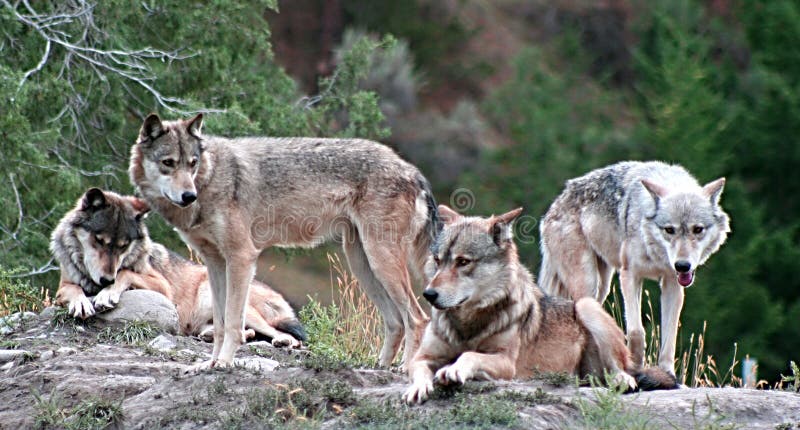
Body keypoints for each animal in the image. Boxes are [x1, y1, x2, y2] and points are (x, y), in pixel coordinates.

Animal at [49, 188, 306, 346]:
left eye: (123, 246)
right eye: (99, 240)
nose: (106, 280)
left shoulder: (162, 286)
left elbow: (125, 272)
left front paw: (106, 295)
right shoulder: (63, 286)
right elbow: (74, 290)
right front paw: (82, 302)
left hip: (217, 296)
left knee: (284, 335)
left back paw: (283, 340)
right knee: (240, 332)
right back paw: (210, 335)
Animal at [128, 113, 438, 370]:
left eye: (192, 164)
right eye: (168, 163)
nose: (188, 196)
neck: (211, 177)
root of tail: (412, 170)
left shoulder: (242, 257)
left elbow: (233, 323)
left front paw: (225, 364)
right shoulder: (214, 263)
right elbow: (219, 324)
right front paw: (210, 364)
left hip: (380, 262)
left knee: (418, 318)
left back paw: (405, 370)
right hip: (362, 264)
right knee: (396, 322)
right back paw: (379, 367)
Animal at [400, 205, 676, 404]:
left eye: (463, 262)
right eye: (438, 260)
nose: (429, 294)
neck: (467, 324)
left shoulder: (506, 363)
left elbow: (469, 355)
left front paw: (454, 370)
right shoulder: (423, 356)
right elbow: (418, 369)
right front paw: (418, 388)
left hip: (586, 306)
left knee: (624, 369)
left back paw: (623, 380)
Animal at [540, 161, 728, 376]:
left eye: (697, 229)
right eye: (669, 230)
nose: (682, 265)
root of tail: (554, 205)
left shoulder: (672, 283)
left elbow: (669, 335)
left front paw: (667, 373)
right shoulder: (630, 275)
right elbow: (636, 331)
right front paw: (635, 366)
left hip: (602, 286)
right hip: (588, 283)